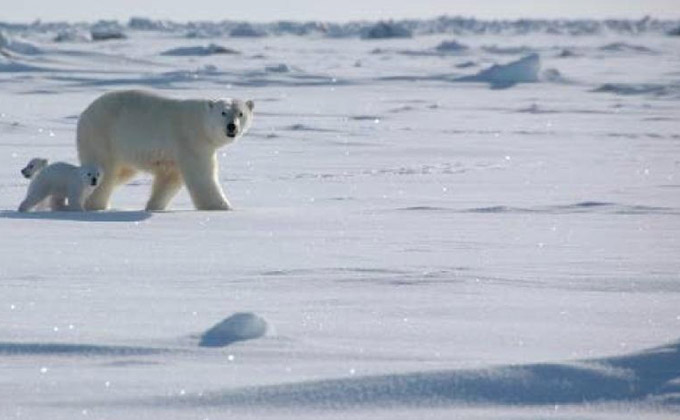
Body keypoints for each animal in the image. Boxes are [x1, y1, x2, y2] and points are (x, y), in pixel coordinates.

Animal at [75, 90, 255, 212]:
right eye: (223, 112)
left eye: (240, 113)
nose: (231, 126)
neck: (202, 125)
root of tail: (84, 113)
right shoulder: (191, 142)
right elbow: (202, 176)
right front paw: (222, 207)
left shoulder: (175, 156)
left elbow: (170, 179)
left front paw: (154, 206)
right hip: (102, 135)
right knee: (106, 171)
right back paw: (95, 205)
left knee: (122, 173)